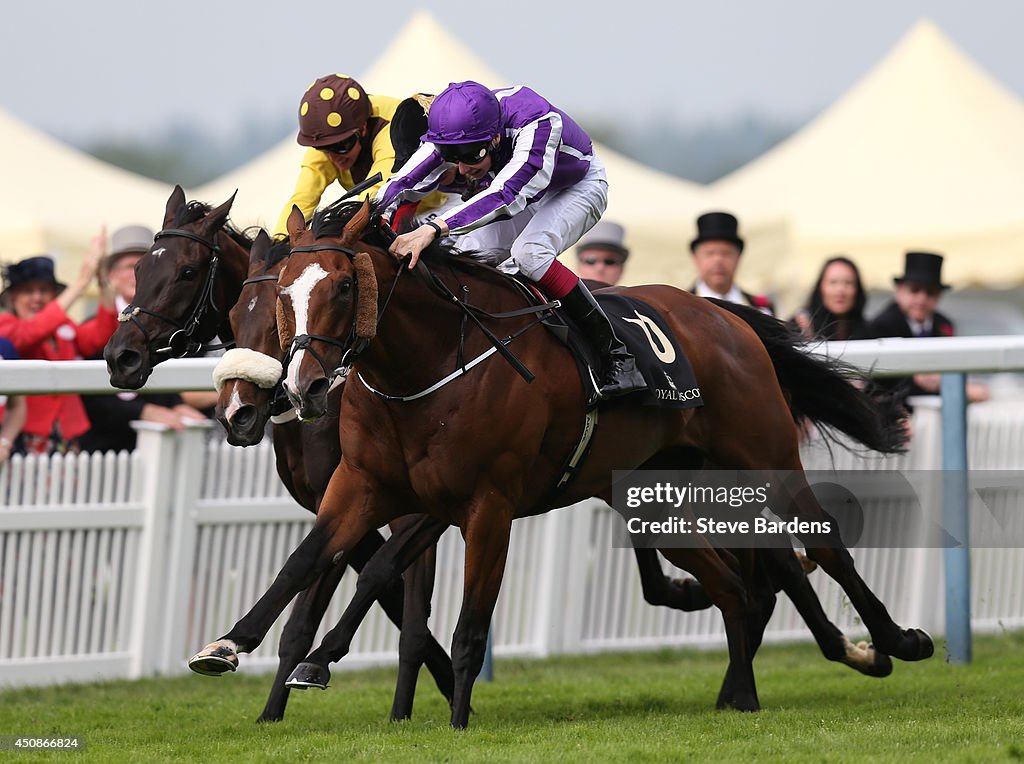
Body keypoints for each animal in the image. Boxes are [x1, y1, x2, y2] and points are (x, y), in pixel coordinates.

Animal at [188, 199, 933, 725]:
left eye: (343, 287)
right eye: (281, 295)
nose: (300, 387)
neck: (423, 367)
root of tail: (724, 313)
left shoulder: (485, 503)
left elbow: (462, 622)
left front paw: (457, 723)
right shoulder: (366, 487)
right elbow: (307, 562)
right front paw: (228, 647)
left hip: (764, 455)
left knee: (819, 543)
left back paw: (895, 642)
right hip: (654, 495)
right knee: (736, 586)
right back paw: (744, 696)